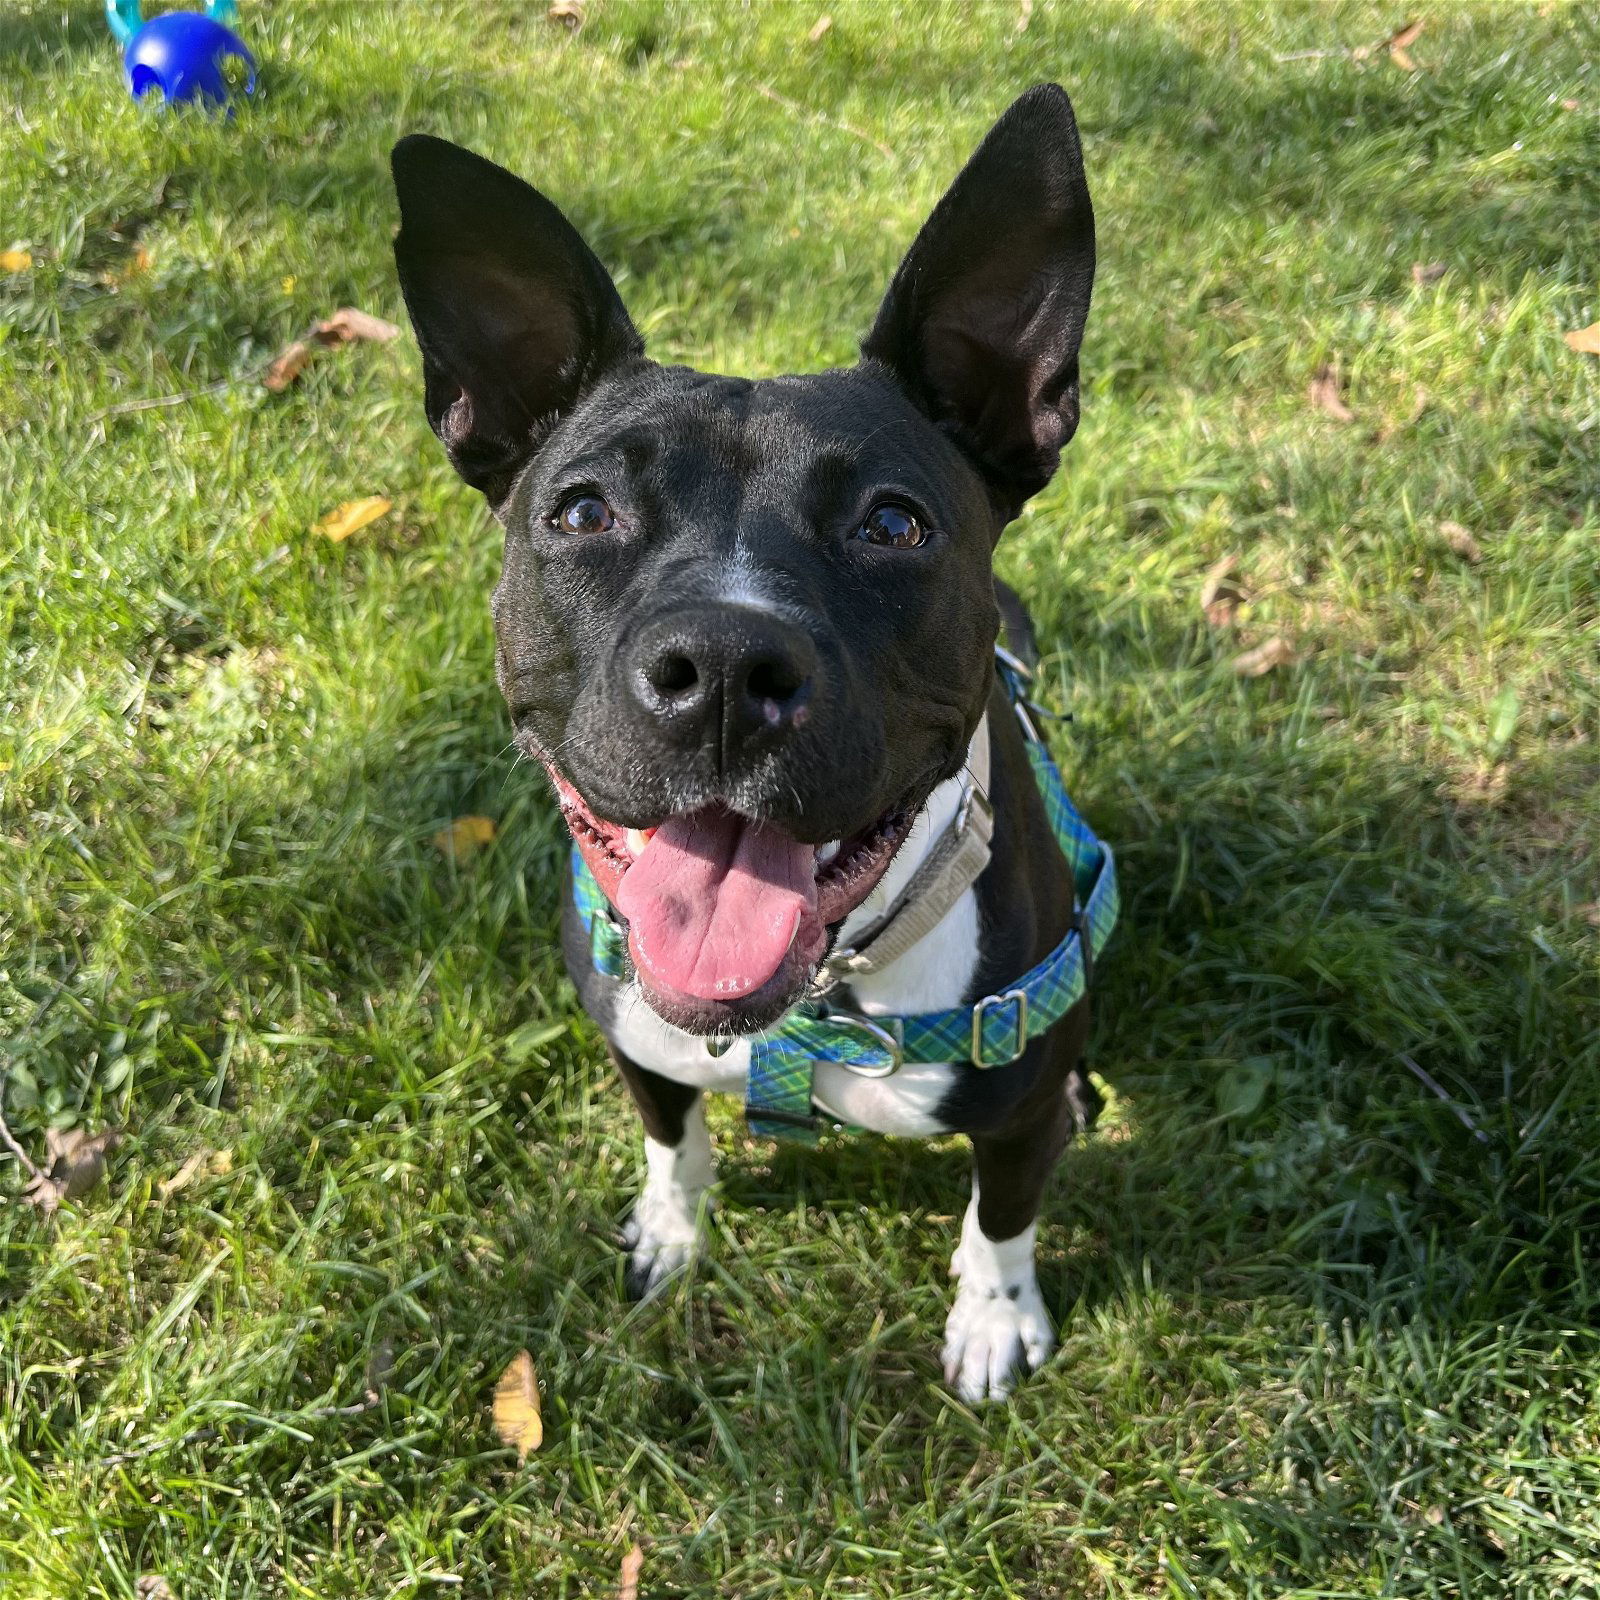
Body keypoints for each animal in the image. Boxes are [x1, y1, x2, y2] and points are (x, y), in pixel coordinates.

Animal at [390, 84, 1113, 1401]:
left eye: (893, 522)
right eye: (582, 510)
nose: (725, 666)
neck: (811, 999)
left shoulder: (1014, 1113)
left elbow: (1002, 1218)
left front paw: (992, 1318)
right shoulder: (638, 1045)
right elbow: (671, 1139)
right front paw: (671, 1231)